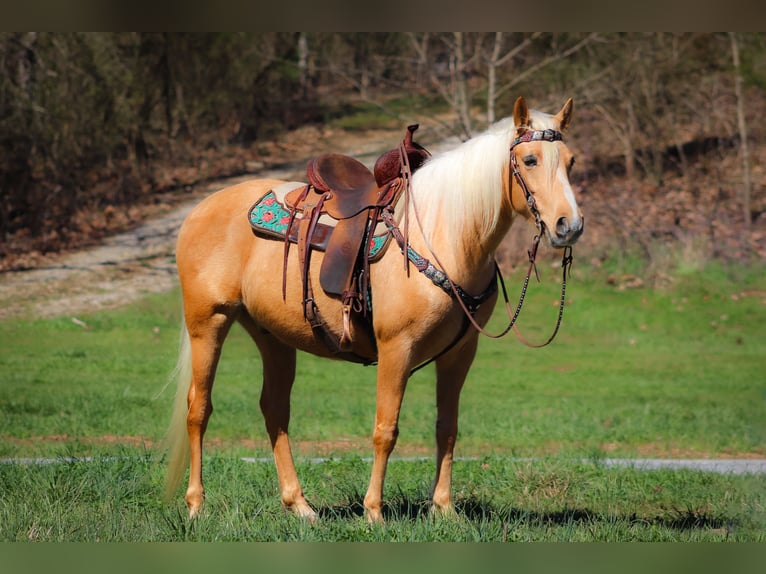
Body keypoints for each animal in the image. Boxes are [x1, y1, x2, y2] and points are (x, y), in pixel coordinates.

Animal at [162, 97, 584, 524]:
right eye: (529, 160)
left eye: (570, 161)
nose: (569, 226)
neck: (445, 236)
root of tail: (201, 208)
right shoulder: (397, 347)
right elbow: (386, 429)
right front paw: (374, 512)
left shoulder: (460, 354)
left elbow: (447, 428)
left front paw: (444, 509)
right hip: (208, 322)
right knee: (198, 408)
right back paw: (196, 505)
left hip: (272, 336)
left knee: (274, 410)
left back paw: (300, 505)